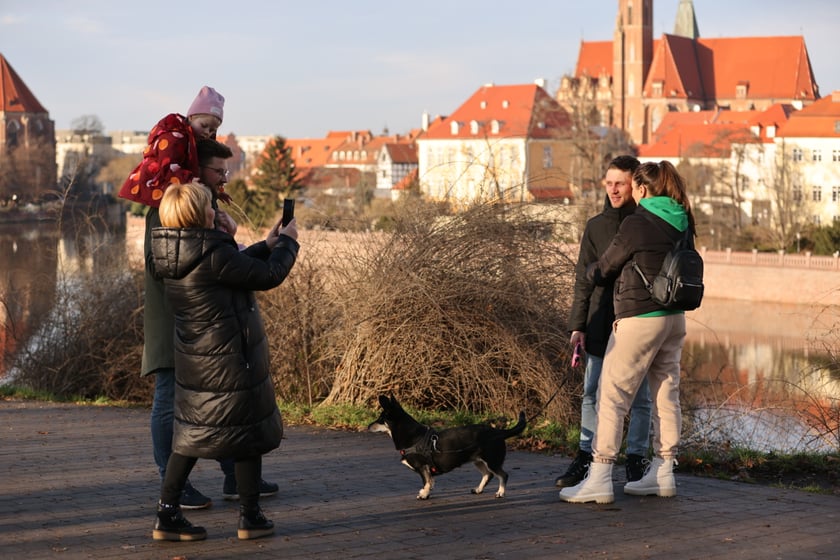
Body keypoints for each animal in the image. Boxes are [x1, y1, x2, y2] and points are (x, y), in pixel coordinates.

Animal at [368, 394, 524, 498]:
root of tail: (499, 432)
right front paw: (426, 492)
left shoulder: (422, 467)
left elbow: (426, 481)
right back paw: (478, 489)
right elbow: (430, 481)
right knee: (488, 475)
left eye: (380, 419)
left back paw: (500, 492)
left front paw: (423, 494)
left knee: (503, 475)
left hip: (491, 460)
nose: (368, 426)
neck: (413, 436)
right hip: (478, 461)